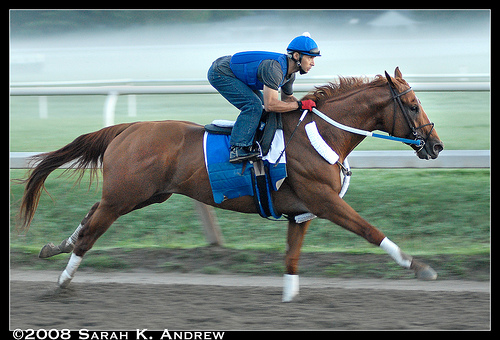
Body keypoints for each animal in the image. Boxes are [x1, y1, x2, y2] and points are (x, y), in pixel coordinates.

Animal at [17, 67, 444, 302]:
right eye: (412, 106)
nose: (436, 145)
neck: (322, 132)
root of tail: (126, 128)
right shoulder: (323, 200)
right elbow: (369, 230)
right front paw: (419, 266)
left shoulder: (300, 212)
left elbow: (292, 257)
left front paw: (289, 298)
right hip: (126, 195)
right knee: (92, 231)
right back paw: (63, 280)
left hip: (146, 195)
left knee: (90, 217)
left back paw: (54, 247)